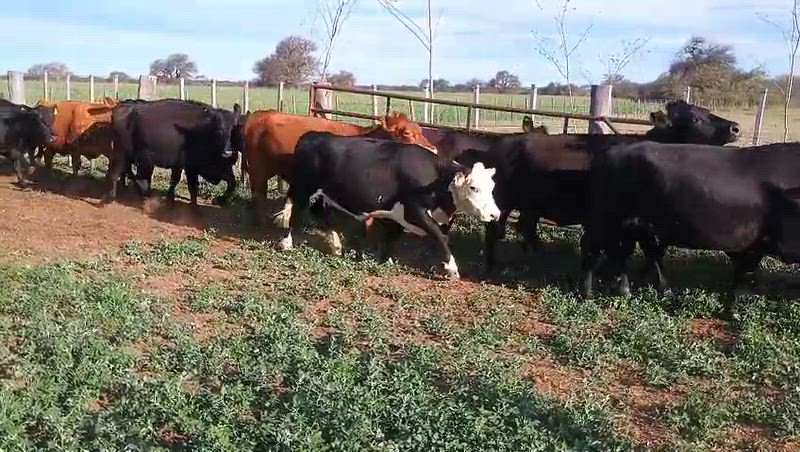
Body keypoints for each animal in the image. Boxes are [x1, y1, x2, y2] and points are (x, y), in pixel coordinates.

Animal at [102, 99, 243, 209]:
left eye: (234, 130)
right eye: (219, 130)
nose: (228, 152)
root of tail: (125, 108)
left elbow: (232, 182)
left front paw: (220, 200)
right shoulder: (191, 166)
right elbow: (192, 186)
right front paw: (194, 208)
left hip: (127, 156)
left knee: (119, 173)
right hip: (129, 156)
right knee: (121, 174)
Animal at [242, 111, 437, 222]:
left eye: (420, 130)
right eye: (406, 133)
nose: (434, 149)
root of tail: (259, 115)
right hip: (259, 170)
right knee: (258, 195)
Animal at [275, 132, 501, 279]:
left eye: (492, 187)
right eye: (473, 187)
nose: (494, 215)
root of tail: (311, 136)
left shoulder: (397, 214)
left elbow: (392, 237)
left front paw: (386, 260)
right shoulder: (415, 211)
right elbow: (441, 237)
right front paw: (452, 269)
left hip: (323, 194)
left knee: (320, 214)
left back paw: (336, 244)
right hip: (304, 190)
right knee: (295, 214)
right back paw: (286, 243)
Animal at [472, 100, 741, 274]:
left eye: (707, 111)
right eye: (696, 118)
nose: (735, 128)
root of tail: (503, 143)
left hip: (531, 205)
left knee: (524, 229)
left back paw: (537, 260)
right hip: (503, 201)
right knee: (494, 231)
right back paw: (492, 266)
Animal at [581, 142, 800, 306]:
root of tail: (614, 150)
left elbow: (744, 272)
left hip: (633, 226)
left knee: (627, 253)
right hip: (606, 220)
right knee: (594, 250)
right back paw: (589, 293)